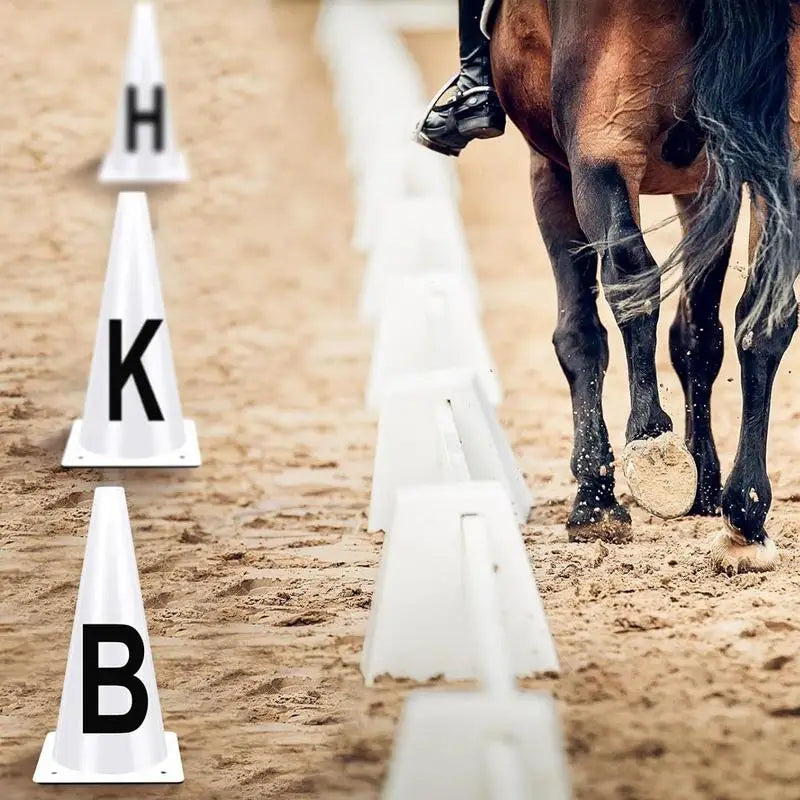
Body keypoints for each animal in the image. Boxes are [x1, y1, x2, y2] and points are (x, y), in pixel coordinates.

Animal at [488, 1, 800, 576]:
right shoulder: (707, 184)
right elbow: (699, 337)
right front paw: (705, 485)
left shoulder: (551, 166)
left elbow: (580, 335)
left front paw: (595, 499)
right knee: (765, 315)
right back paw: (744, 517)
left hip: (601, 142)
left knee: (629, 274)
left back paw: (652, 448)